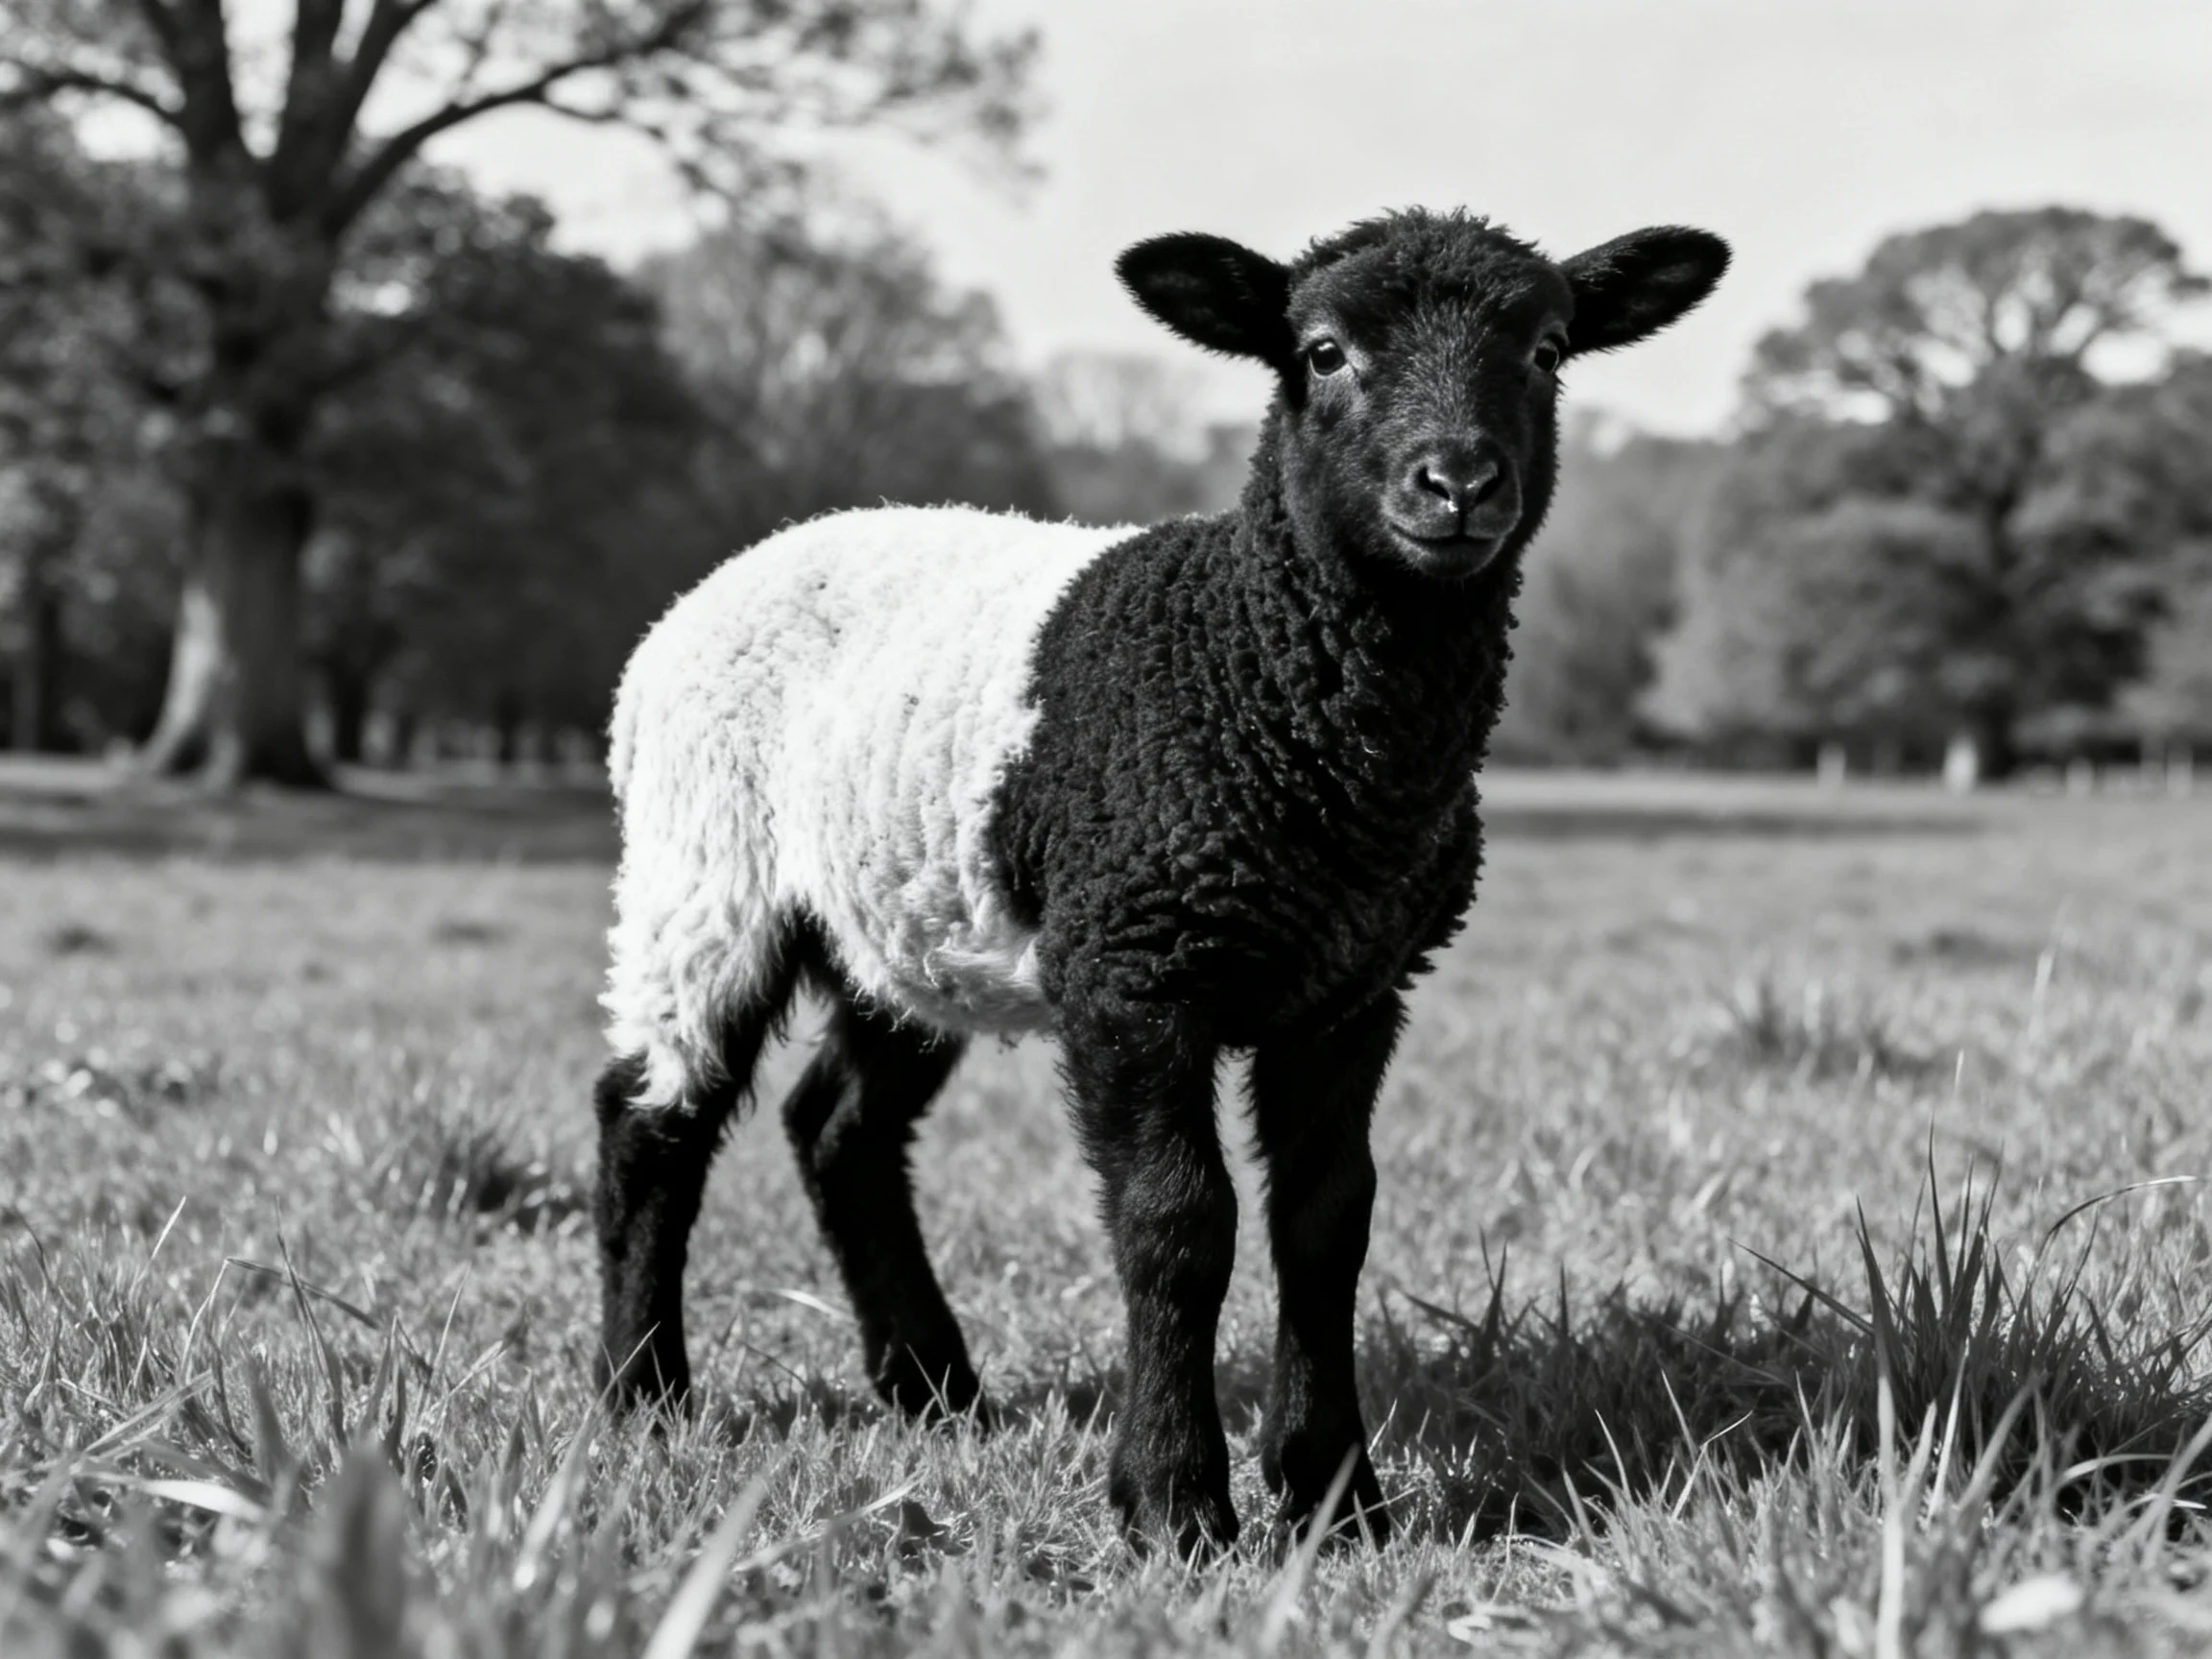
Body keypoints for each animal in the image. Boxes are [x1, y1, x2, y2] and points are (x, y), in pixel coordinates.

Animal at [593, 207, 1729, 1554]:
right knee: (651, 1118)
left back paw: (936, 1392)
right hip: (705, 862)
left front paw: (1335, 1497)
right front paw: (1175, 1505)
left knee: (841, 1128)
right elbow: (1178, 1224)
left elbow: (1326, 1222)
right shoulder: (1133, 971)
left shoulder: (1351, 987)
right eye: (1323, 351)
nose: (1456, 485)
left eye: (1549, 350)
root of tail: (733, 572)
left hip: (912, 915)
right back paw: (643, 1394)